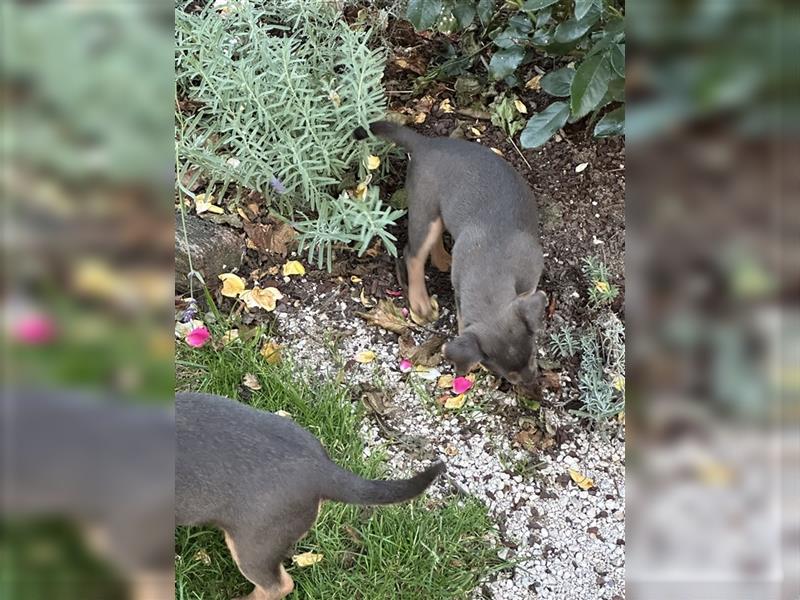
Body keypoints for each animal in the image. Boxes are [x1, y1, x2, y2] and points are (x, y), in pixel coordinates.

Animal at [358, 120, 552, 390]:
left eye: (533, 356)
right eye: (508, 376)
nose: (534, 388)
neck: (491, 272)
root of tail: (424, 143)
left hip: (436, 212)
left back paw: (442, 260)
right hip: (424, 210)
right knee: (412, 255)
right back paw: (420, 303)